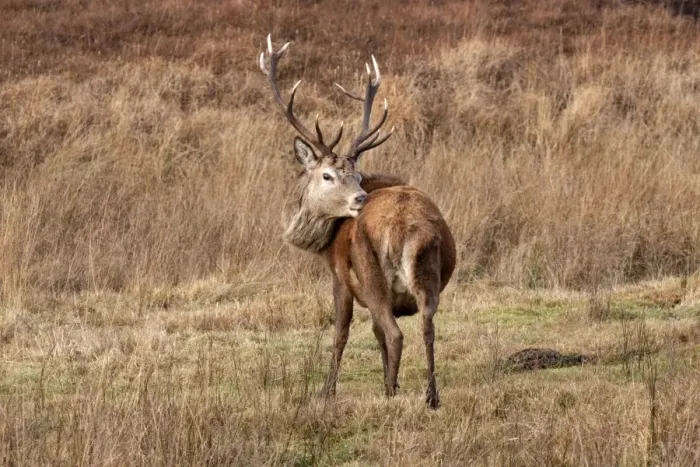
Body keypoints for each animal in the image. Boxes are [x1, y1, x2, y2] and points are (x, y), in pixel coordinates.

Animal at [259, 35, 456, 409]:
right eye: (329, 175)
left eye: (356, 175)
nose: (360, 198)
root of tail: (406, 227)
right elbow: (376, 334)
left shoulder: (340, 276)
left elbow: (342, 333)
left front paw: (327, 390)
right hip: (429, 272)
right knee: (427, 326)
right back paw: (431, 396)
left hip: (370, 269)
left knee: (395, 334)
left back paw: (390, 393)